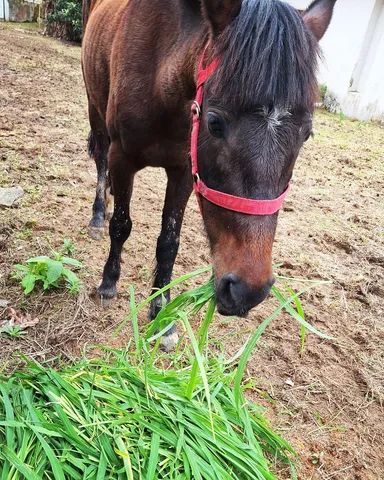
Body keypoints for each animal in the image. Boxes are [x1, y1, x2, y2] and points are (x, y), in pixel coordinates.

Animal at [82, 0, 336, 348]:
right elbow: (121, 226)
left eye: (306, 134)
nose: (247, 290)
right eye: (214, 123)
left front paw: (161, 315)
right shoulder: (123, 158)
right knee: (100, 161)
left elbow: (169, 243)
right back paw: (98, 214)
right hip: (95, 111)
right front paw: (108, 283)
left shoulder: (183, 172)